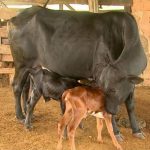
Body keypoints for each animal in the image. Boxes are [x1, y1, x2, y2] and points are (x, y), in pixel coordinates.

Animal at [8, 6, 146, 141]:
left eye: (114, 90)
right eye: (103, 90)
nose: (108, 110)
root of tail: (19, 15)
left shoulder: (131, 83)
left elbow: (130, 105)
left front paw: (137, 130)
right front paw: (116, 132)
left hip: (31, 68)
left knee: (26, 88)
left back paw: (27, 113)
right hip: (22, 64)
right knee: (17, 87)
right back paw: (20, 116)